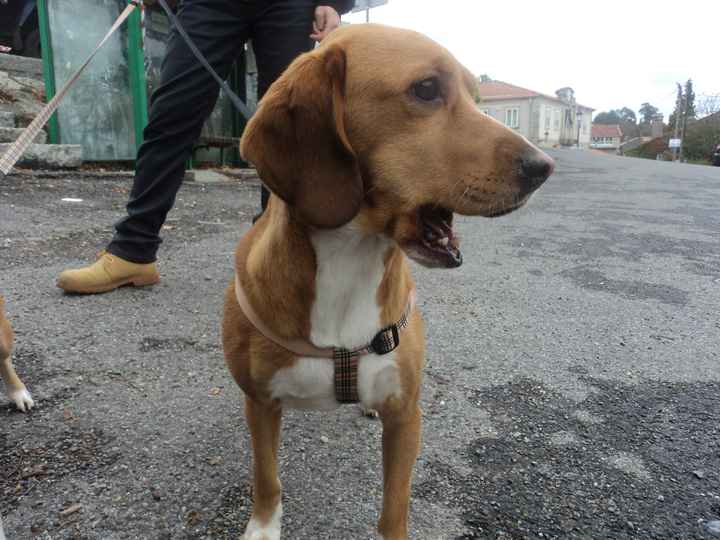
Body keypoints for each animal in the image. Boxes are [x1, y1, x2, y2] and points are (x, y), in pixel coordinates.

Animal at [222, 23, 556, 536]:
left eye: (476, 97)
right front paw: (262, 527)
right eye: (426, 89)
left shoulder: (406, 417)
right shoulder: (260, 405)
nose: (544, 167)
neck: (351, 261)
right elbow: (266, 478)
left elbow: (394, 506)